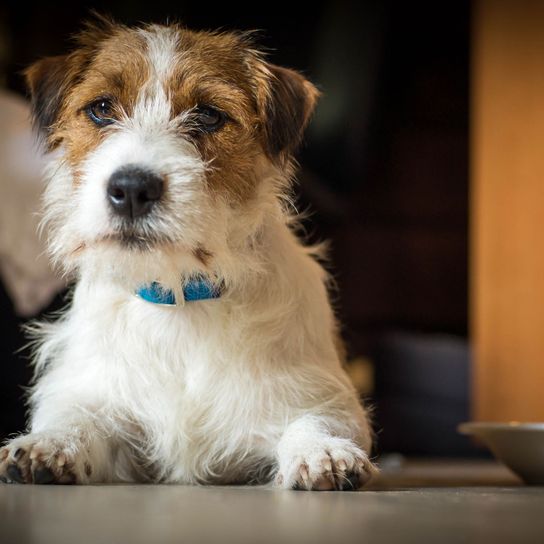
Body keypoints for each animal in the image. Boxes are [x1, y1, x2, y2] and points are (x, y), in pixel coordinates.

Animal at [0, 19, 374, 490]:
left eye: (209, 114)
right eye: (102, 108)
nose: (132, 189)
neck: (179, 296)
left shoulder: (319, 392)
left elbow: (316, 418)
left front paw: (321, 451)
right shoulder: (94, 392)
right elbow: (76, 417)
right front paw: (48, 445)